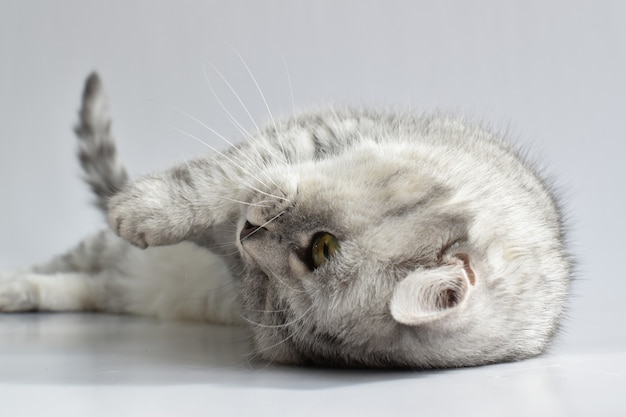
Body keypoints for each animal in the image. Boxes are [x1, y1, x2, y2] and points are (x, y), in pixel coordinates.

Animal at [0, 74, 568, 368]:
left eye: (275, 298)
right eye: (325, 246)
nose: (247, 233)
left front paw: (139, 212)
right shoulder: (307, 140)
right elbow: (219, 178)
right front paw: (144, 208)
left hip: (110, 286)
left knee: (74, 286)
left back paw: (14, 292)